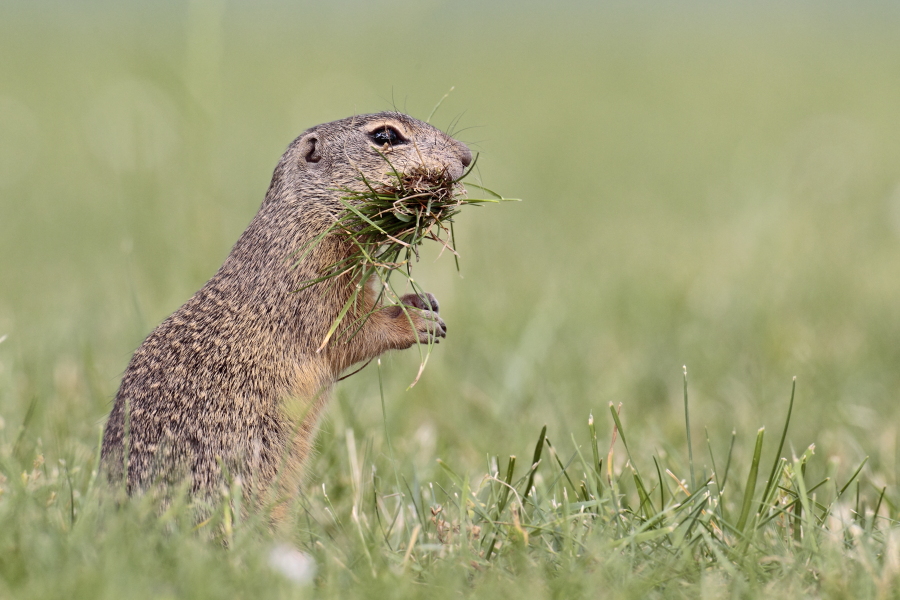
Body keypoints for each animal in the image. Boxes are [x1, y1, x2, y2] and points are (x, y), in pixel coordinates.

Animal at [100, 112, 472, 516]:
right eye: (385, 136)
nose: (467, 156)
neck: (303, 220)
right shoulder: (313, 293)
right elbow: (351, 334)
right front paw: (417, 322)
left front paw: (422, 300)